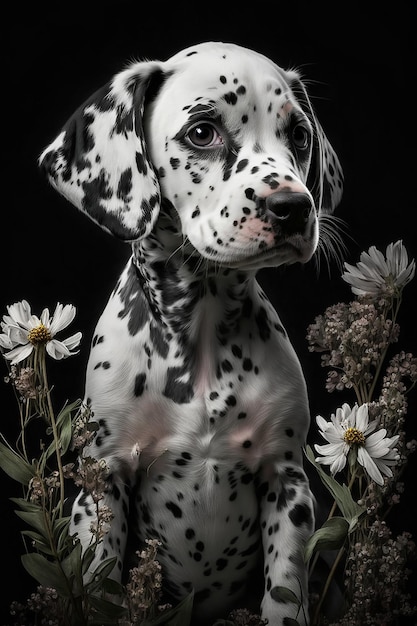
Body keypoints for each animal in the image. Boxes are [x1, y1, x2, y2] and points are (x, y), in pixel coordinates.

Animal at [40, 41, 342, 620]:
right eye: (202, 132)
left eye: (299, 134)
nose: (294, 207)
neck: (200, 338)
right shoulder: (102, 484)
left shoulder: (287, 483)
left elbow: (284, 597)